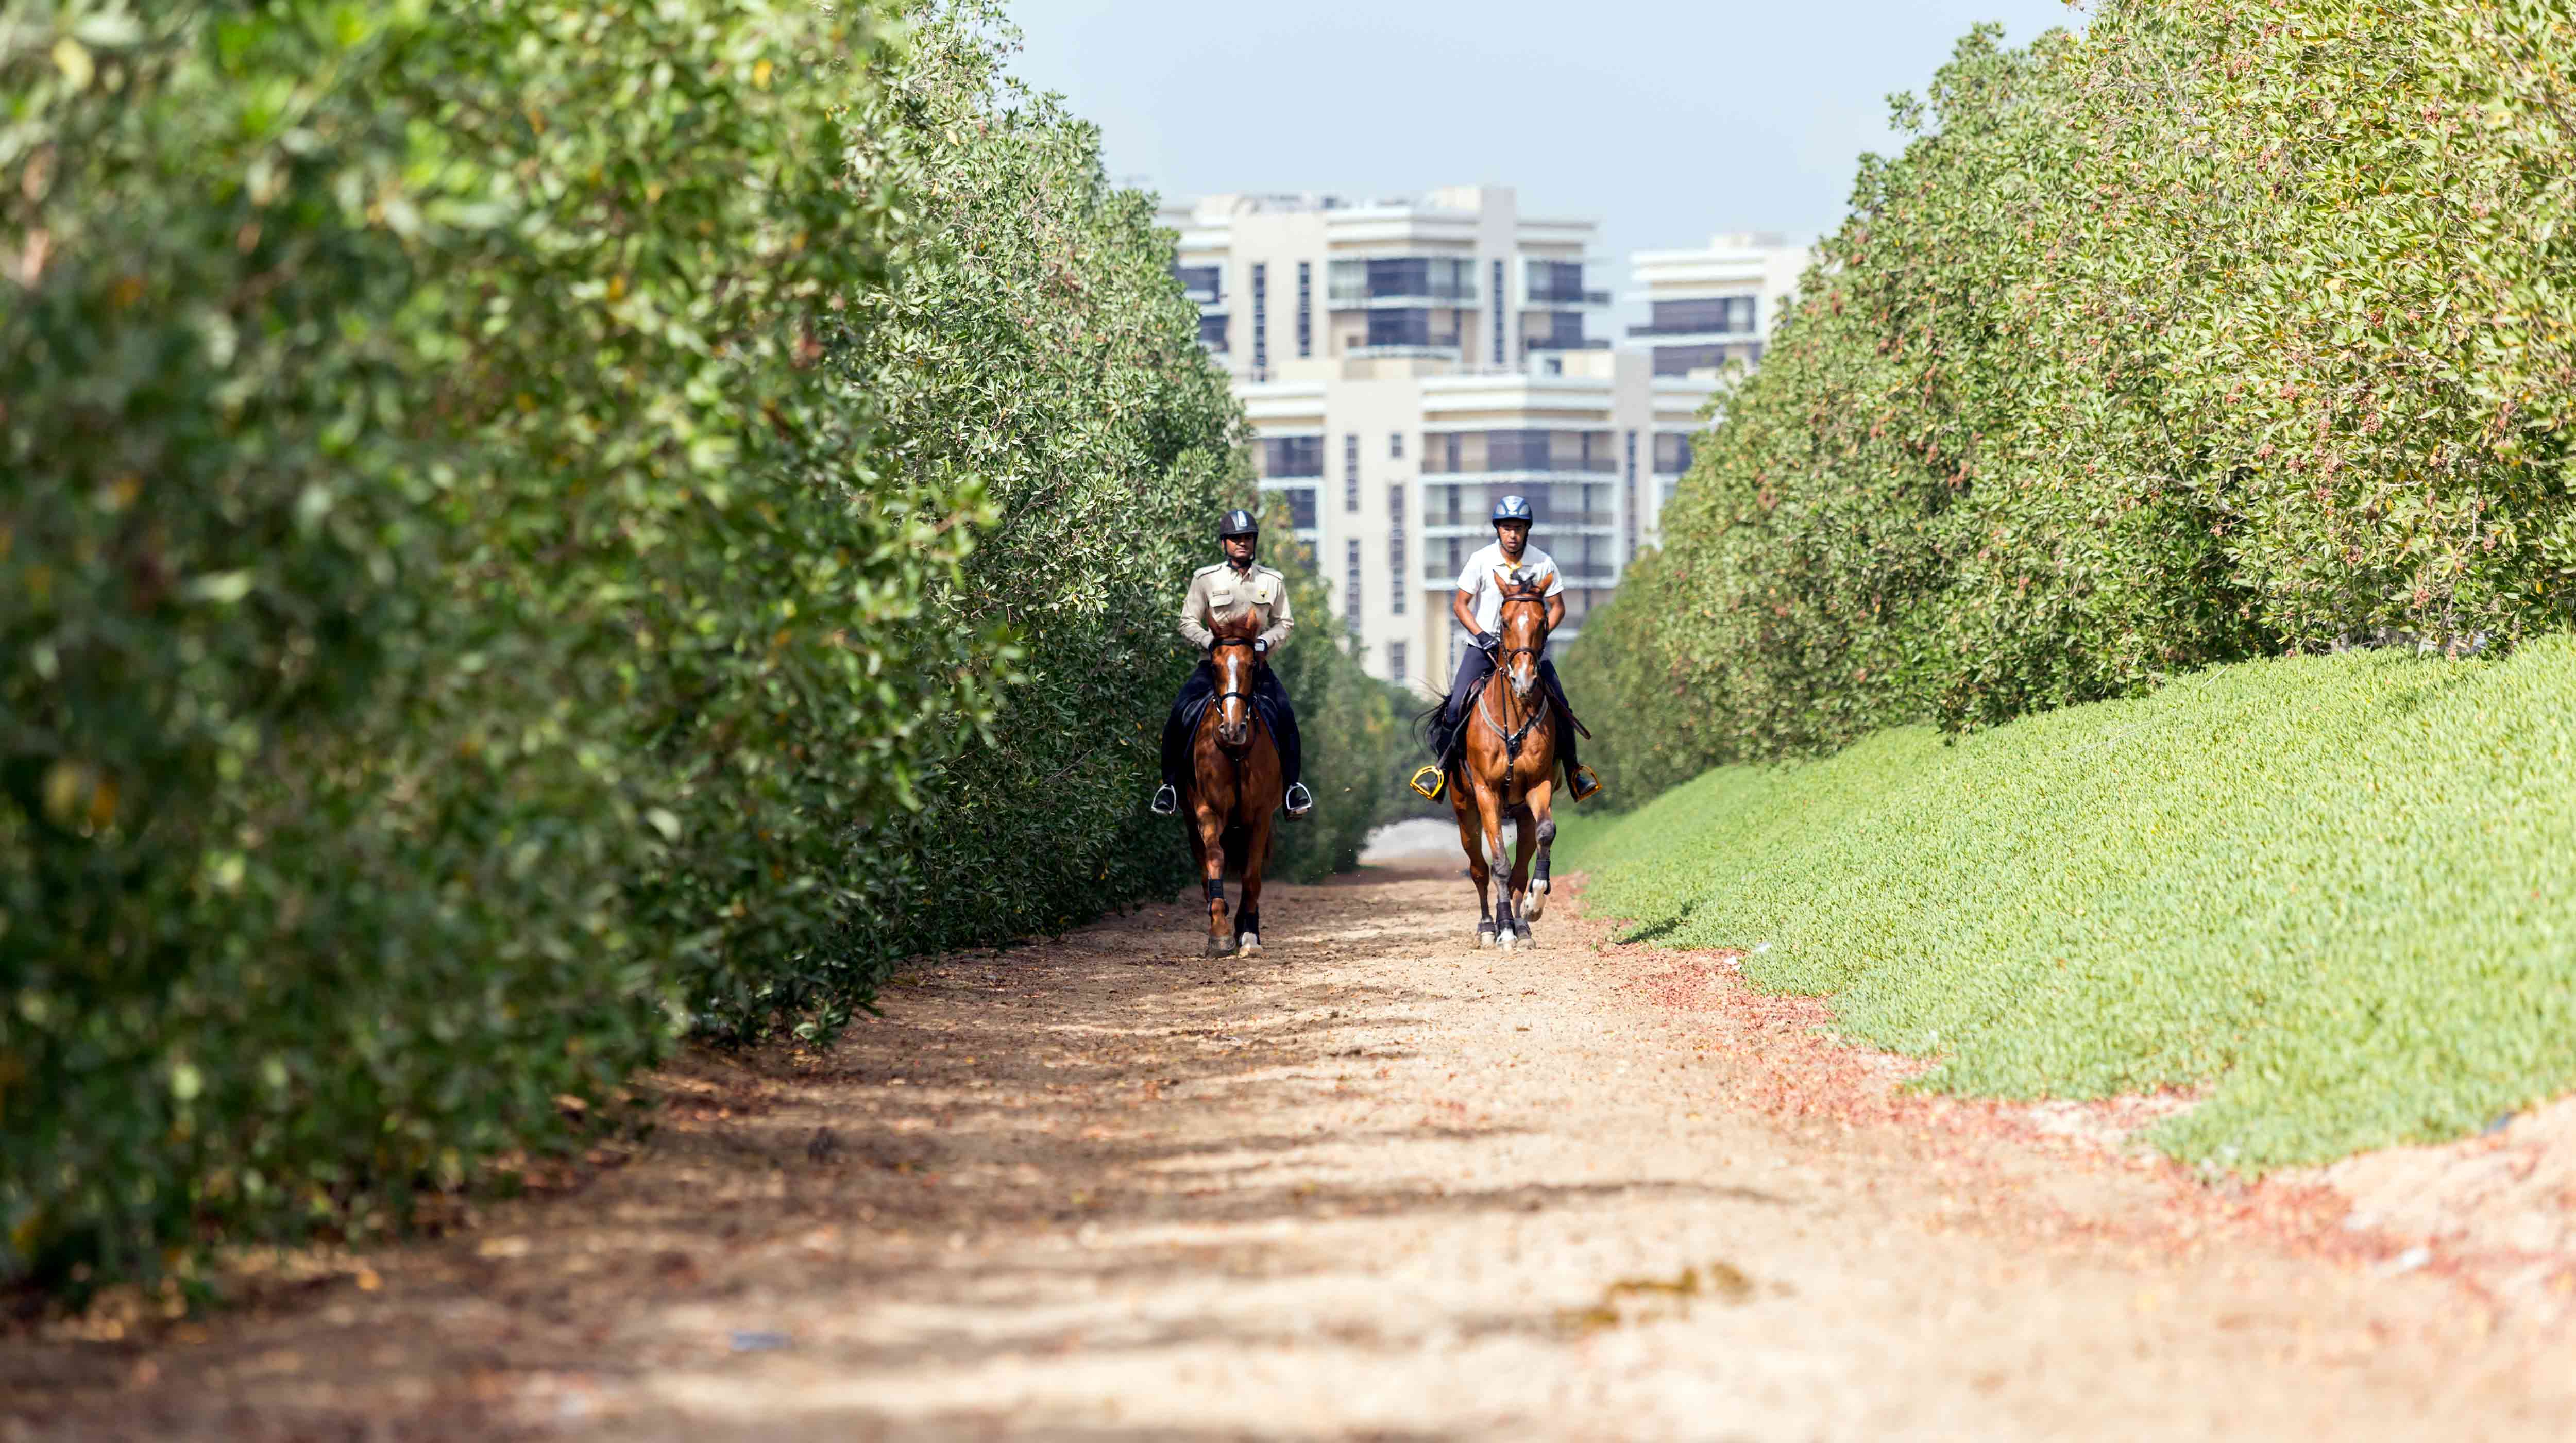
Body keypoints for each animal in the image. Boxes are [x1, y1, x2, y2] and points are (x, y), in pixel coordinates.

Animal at [1180, 611, 1283, 959]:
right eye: (1214, 665)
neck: (1236, 752)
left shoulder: (1261, 815)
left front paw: (1248, 934)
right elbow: (1215, 861)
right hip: (1190, 819)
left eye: (1252, 665)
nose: (1232, 729)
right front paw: (1220, 933)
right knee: (1203, 868)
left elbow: (1252, 875)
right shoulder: (1207, 810)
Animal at [1443, 569, 1556, 953]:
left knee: (1521, 865)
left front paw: (1534, 905)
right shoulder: (1486, 792)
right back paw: (1489, 927)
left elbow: (1545, 834)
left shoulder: (1539, 786)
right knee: (1479, 869)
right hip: (1465, 810)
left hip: (1520, 814)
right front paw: (1503, 929)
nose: (1524, 680)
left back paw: (1523, 926)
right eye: (1504, 623)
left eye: (1542, 622)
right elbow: (1498, 865)